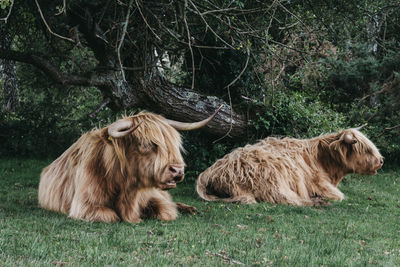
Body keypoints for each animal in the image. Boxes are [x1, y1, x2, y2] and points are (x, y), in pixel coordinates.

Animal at [39, 107, 222, 224]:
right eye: (146, 144)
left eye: (174, 143)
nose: (177, 170)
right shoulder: (84, 205)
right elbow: (111, 216)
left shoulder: (153, 197)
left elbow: (166, 210)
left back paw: (191, 209)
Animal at [197, 129, 384, 206]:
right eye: (367, 149)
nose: (381, 160)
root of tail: (210, 171)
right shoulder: (321, 185)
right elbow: (340, 196)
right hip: (273, 180)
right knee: (287, 199)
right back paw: (317, 202)